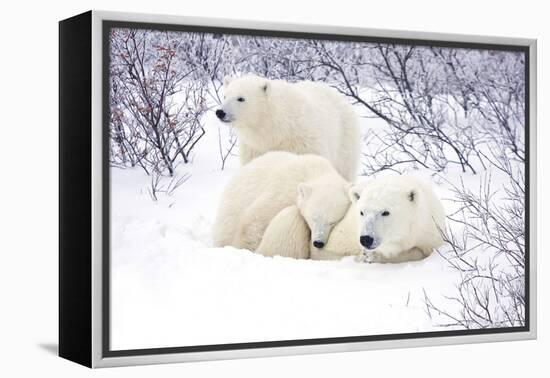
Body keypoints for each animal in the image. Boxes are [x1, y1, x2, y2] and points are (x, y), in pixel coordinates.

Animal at [213, 151, 352, 254]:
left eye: (333, 222)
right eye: (313, 218)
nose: (318, 242)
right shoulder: (282, 191)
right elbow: (256, 218)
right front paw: (245, 248)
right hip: (231, 210)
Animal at [215, 74, 362, 181]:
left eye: (241, 98)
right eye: (225, 95)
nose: (220, 112)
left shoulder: (303, 144)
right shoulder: (254, 148)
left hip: (344, 139)